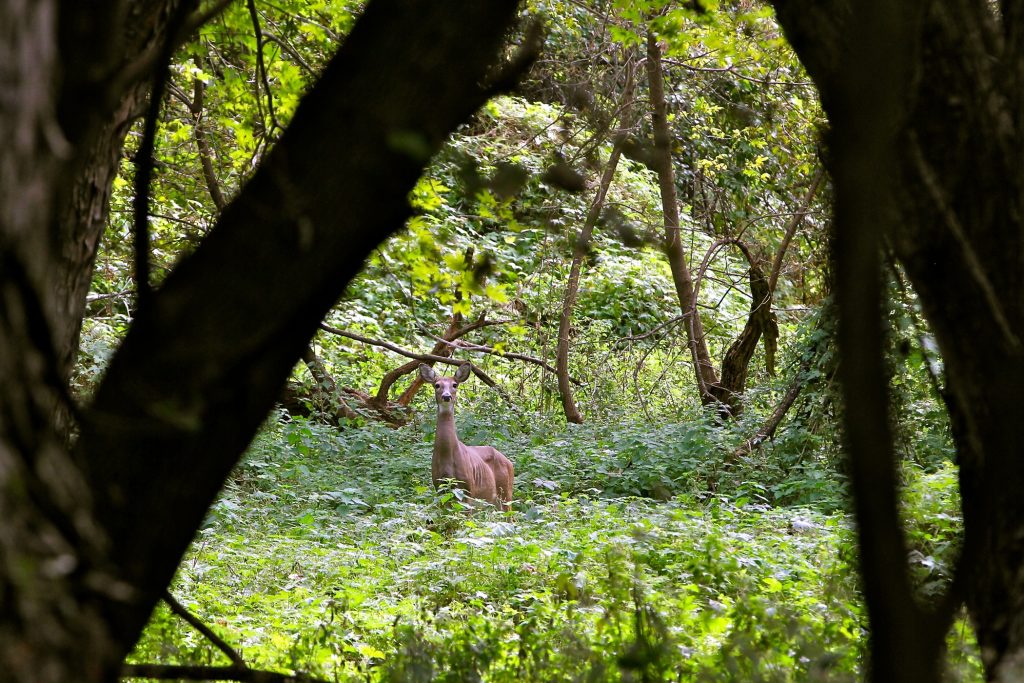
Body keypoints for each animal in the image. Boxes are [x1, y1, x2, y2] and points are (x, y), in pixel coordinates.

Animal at [419, 362, 514, 510]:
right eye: (437, 385)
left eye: (455, 384)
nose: (447, 396)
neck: (448, 457)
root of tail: (510, 463)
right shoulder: (439, 487)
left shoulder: (468, 488)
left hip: (506, 491)